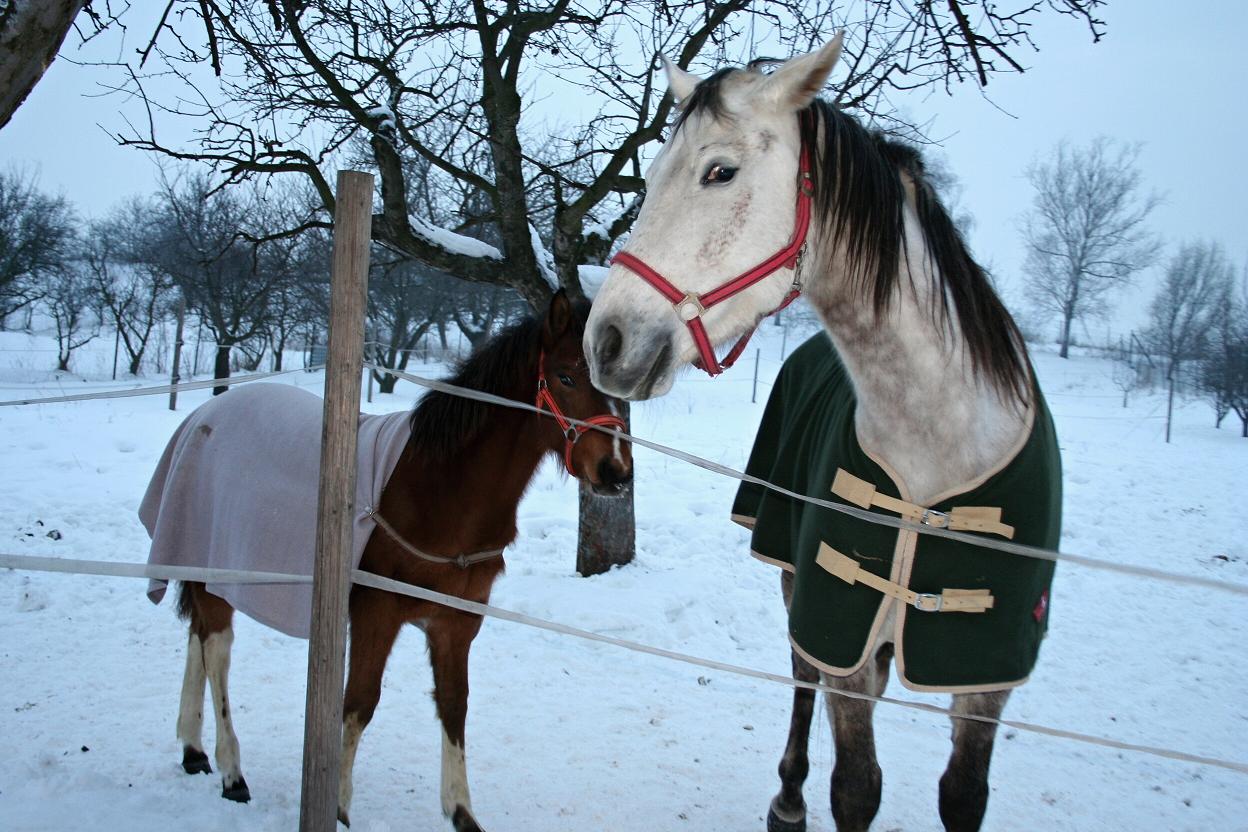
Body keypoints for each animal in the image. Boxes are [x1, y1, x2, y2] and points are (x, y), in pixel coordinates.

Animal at [584, 35, 1053, 828]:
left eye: (720, 171)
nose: (607, 342)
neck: (937, 449)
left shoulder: (986, 673)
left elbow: (963, 795)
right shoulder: (839, 622)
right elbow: (856, 785)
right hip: (796, 581)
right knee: (802, 674)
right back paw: (788, 798)